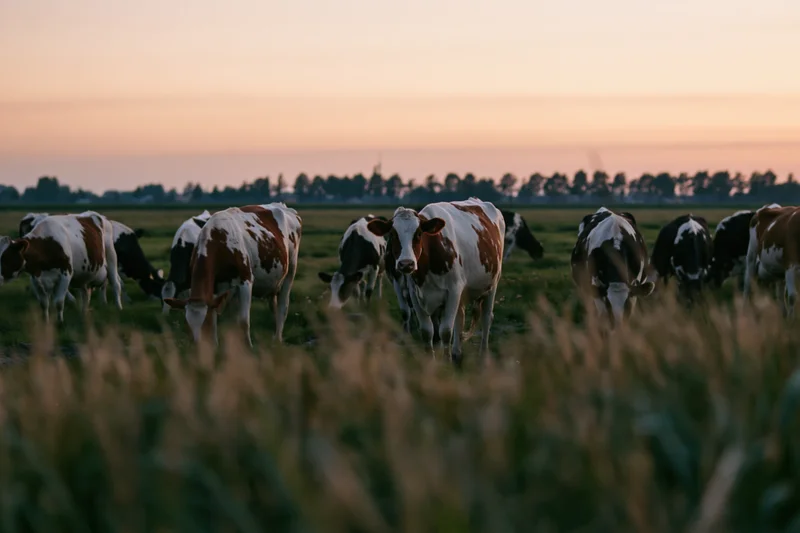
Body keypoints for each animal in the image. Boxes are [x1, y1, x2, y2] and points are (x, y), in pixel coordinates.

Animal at [19, 212, 165, 304]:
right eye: (157, 285)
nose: (159, 300)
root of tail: (32, 217)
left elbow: (106, 282)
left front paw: (103, 301)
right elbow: (118, 282)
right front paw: (125, 300)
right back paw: (71, 299)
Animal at [162, 203, 302, 346]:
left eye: (204, 323)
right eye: (187, 325)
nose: (197, 346)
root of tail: (282, 205)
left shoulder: (246, 280)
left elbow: (243, 321)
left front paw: (248, 347)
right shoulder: (215, 288)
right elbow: (216, 317)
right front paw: (215, 346)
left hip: (290, 270)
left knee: (283, 306)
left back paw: (278, 339)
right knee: (273, 306)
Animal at [366, 197, 505, 366]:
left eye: (419, 234)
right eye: (392, 234)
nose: (406, 264)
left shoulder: (453, 291)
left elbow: (445, 331)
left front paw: (446, 362)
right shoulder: (415, 295)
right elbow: (427, 331)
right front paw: (431, 362)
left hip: (492, 284)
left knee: (486, 318)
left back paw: (483, 356)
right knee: (460, 318)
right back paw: (457, 354)